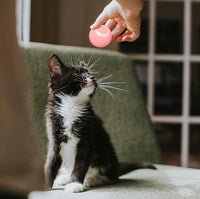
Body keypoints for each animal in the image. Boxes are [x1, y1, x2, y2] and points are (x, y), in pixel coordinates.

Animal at [44, 54, 155, 193]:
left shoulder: (88, 135)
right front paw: (45, 185)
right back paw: (65, 178)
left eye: (90, 74)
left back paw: (91, 179)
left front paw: (75, 183)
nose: (92, 78)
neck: (71, 106)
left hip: (106, 155)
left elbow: (80, 163)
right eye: (77, 74)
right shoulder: (54, 134)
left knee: (111, 177)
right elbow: (51, 161)